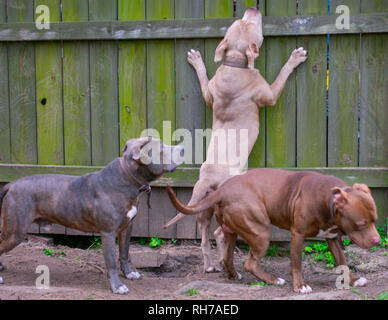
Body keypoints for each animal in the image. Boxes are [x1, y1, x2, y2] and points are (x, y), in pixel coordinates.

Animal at [0, 136, 184, 294]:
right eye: (162, 149)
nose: (182, 148)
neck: (126, 178)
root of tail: (12, 184)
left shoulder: (127, 228)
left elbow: (124, 253)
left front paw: (129, 273)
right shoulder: (108, 233)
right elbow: (111, 261)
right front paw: (117, 286)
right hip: (16, 232)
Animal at [162, 7, 308, 272]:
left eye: (240, 21)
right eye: (252, 26)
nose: (253, 8)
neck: (235, 64)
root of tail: (207, 181)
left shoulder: (209, 92)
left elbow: (204, 81)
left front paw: (197, 61)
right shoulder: (269, 93)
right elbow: (282, 74)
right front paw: (295, 57)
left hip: (204, 208)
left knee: (205, 235)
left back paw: (212, 264)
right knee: (220, 233)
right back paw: (224, 261)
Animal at [165, 169, 380, 294]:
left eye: (374, 220)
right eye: (361, 224)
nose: (377, 240)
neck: (328, 200)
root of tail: (220, 191)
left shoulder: (333, 238)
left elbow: (343, 263)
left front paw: (353, 281)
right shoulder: (298, 234)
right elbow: (296, 263)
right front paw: (300, 286)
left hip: (232, 230)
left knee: (227, 257)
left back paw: (233, 275)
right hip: (261, 232)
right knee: (250, 263)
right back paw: (274, 280)